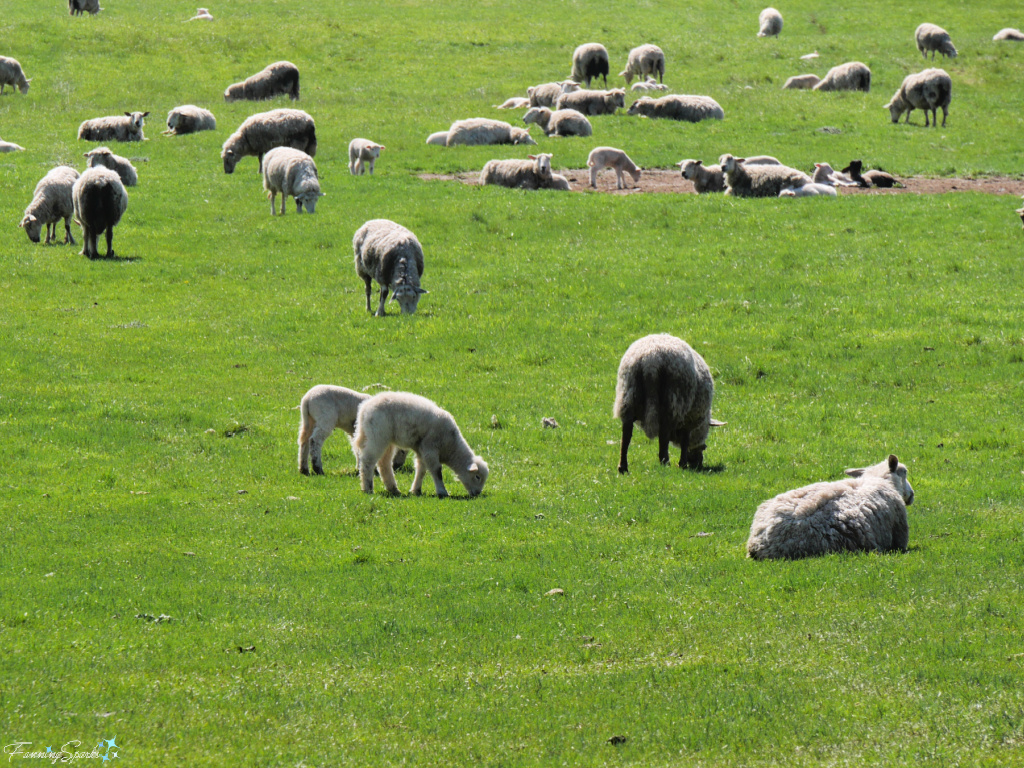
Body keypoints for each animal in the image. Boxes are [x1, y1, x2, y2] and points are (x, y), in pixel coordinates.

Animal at [353, 392, 488, 498]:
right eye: (477, 477)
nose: (477, 493)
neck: (450, 446)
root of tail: (364, 409)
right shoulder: (430, 448)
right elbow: (437, 471)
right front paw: (442, 492)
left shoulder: (422, 450)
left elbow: (421, 470)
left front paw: (416, 490)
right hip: (377, 435)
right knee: (368, 461)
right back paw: (368, 488)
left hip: (387, 440)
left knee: (384, 463)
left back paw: (393, 489)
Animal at [613, 334, 725, 473]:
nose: (698, 462)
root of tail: (651, 360)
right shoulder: (689, 418)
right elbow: (685, 440)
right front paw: (682, 464)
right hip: (673, 402)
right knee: (663, 434)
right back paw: (665, 462)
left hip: (628, 396)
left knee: (626, 433)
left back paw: (623, 467)